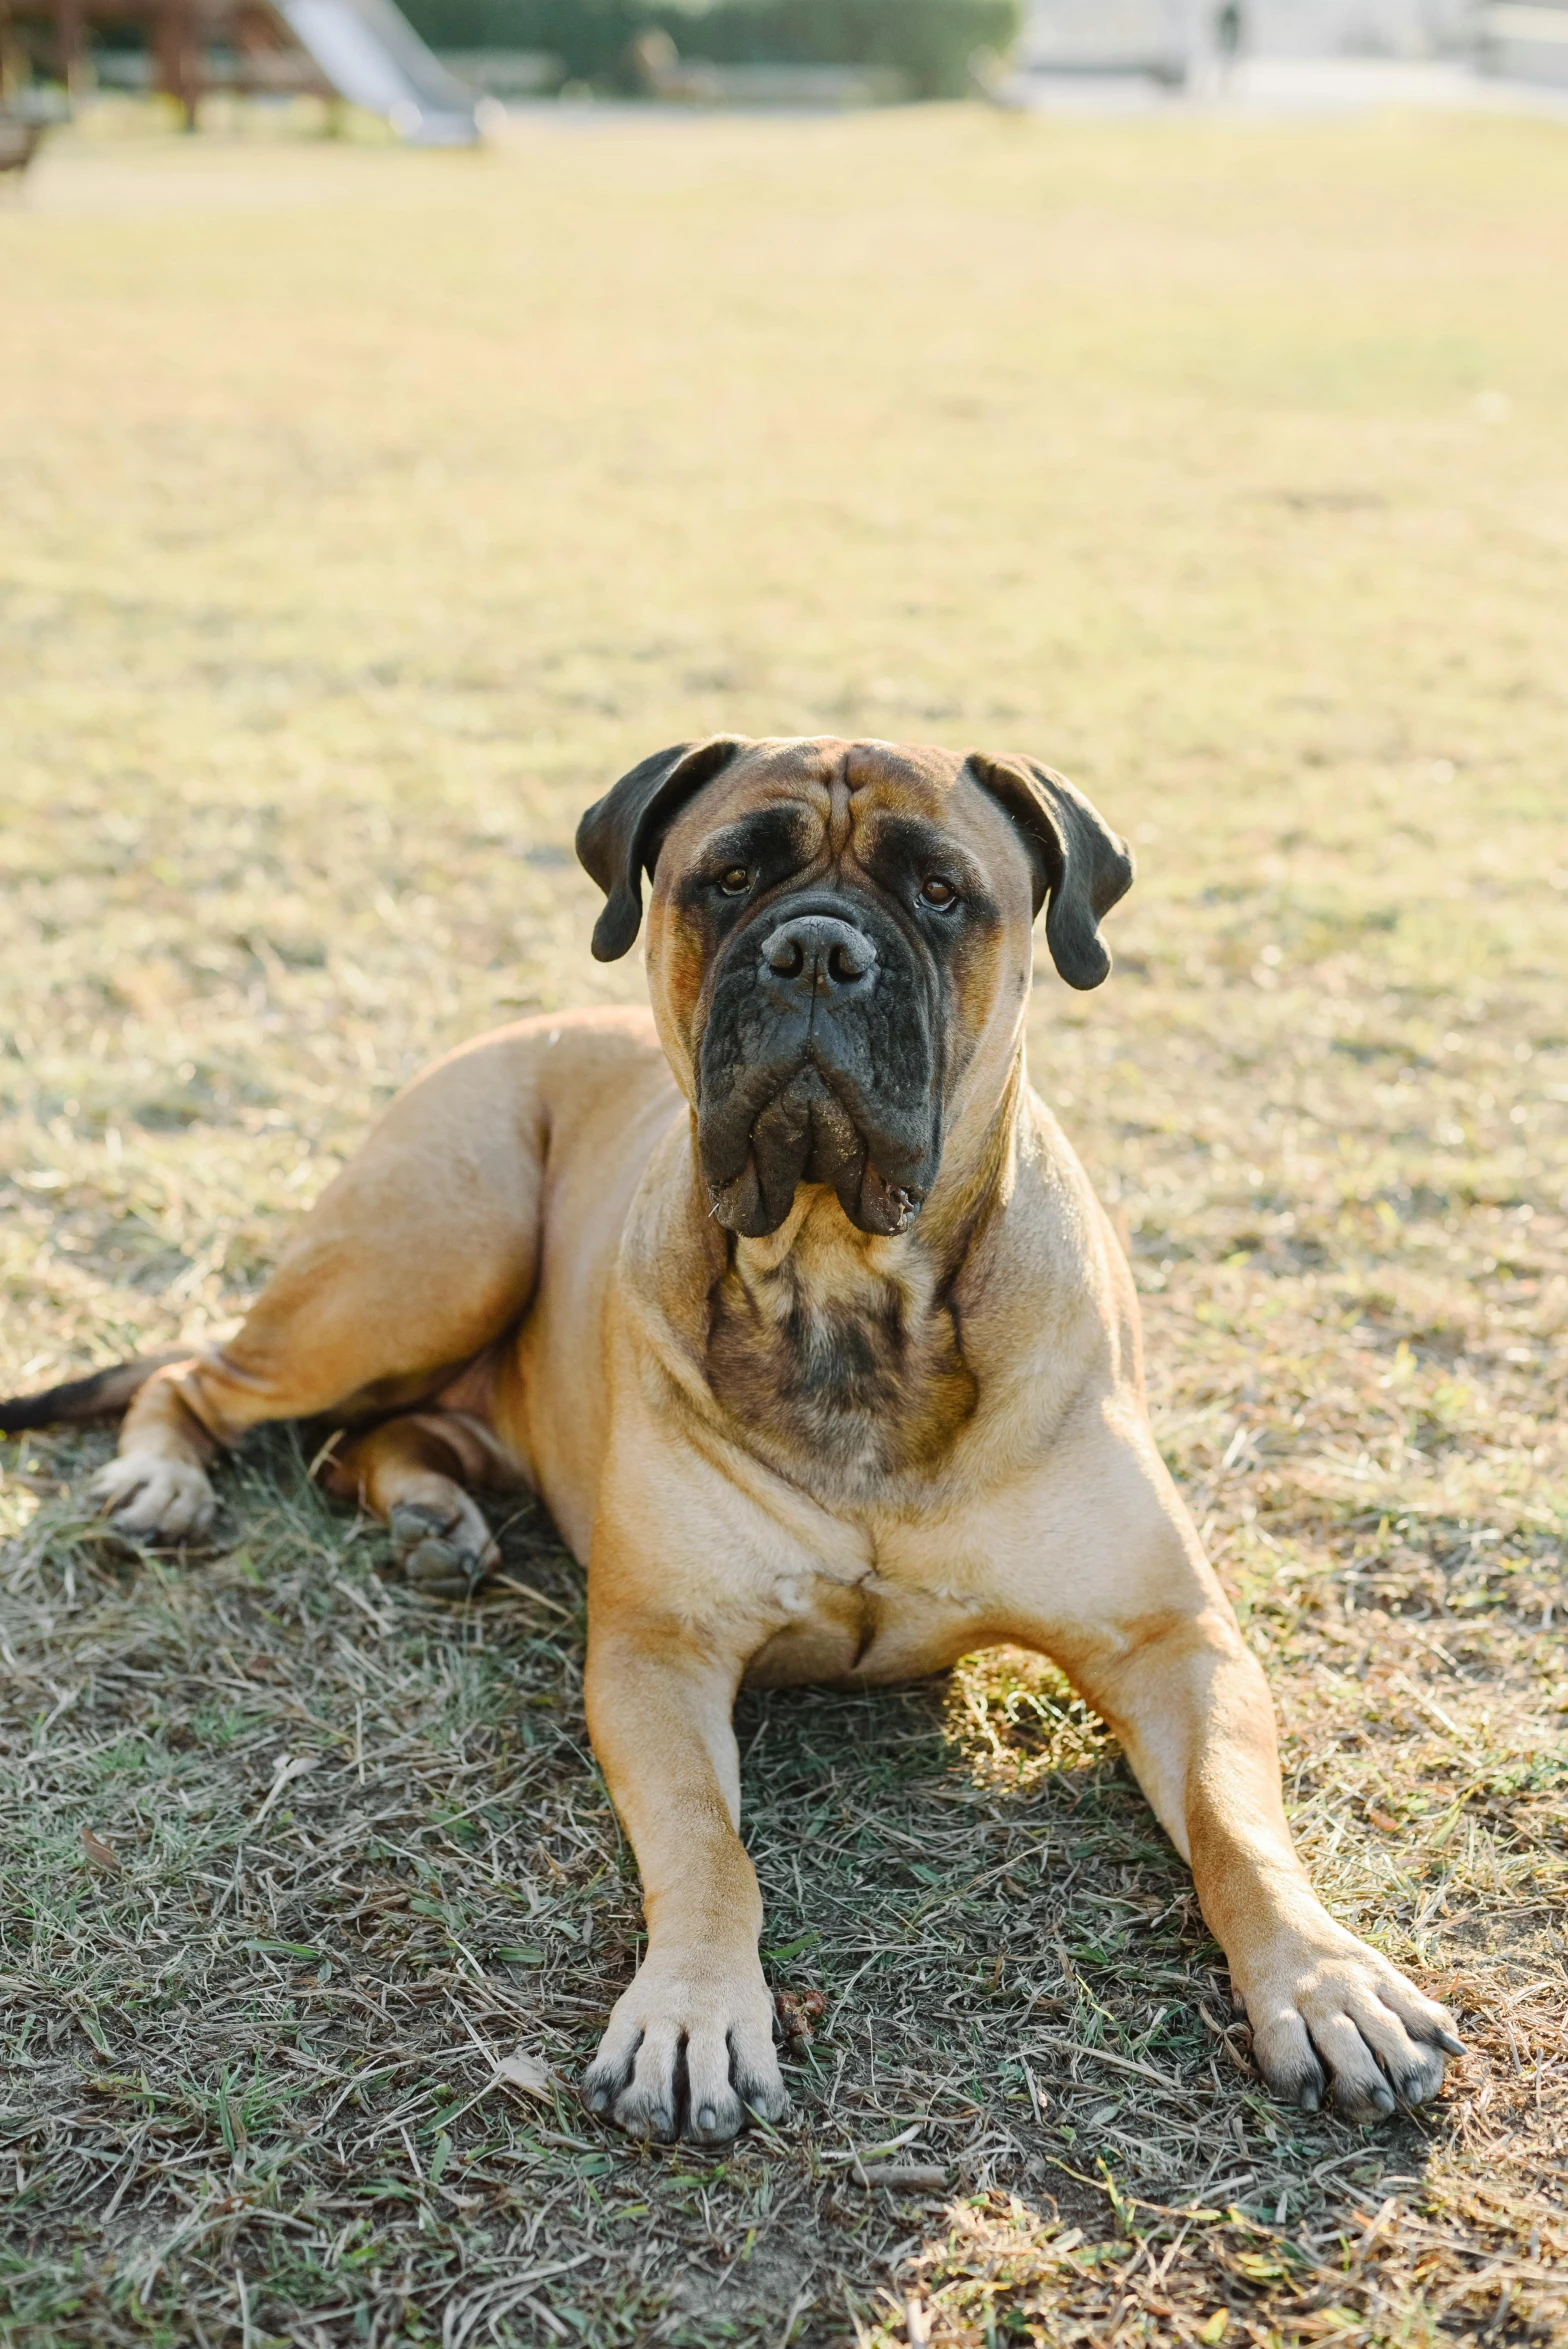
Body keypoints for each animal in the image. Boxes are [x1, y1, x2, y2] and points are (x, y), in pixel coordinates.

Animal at [6, 737, 1464, 2151]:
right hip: (425, 1255)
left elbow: (1232, 1824)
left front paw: (1323, 1981)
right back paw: (164, 1478)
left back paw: (432, 1515)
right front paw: (696, 2010)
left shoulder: (1173, 1643)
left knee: (369, 1437)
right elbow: (713, 1847)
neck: (845, 1296)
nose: (815, 949)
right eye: (727, 878)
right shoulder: (660, 1652)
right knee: (211, 1377)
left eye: (942, 892)